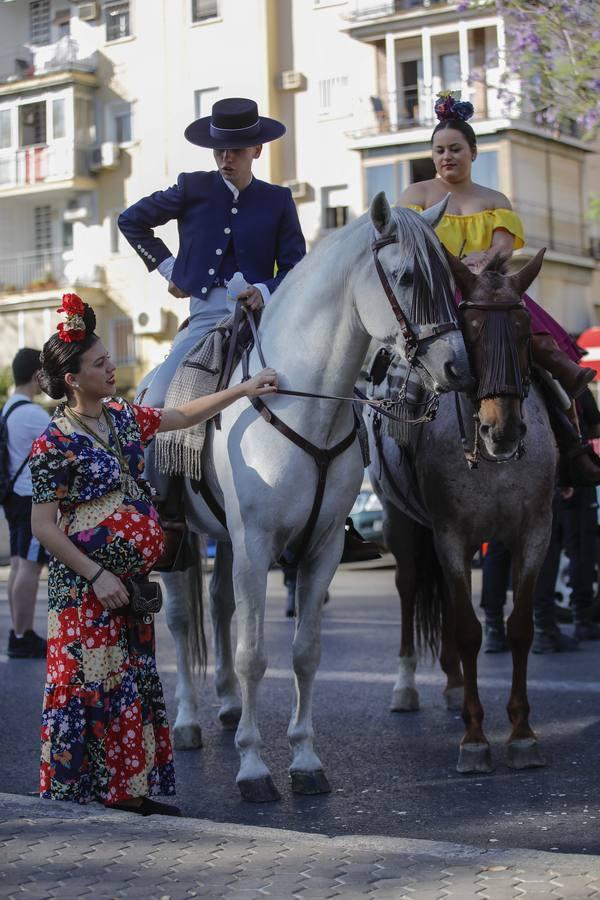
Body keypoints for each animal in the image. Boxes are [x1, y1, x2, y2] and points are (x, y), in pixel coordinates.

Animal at [148, 193, 472, 800]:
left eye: (449, 279)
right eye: (407, 276)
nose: (458, 368)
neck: (304, 402)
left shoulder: (321, 548)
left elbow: (305, 653)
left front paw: (304, 759)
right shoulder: (257, 545)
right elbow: (255, 655)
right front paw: (254, 768)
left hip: (227, 540)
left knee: (220, 606)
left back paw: (227, 706)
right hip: (183, 541)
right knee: (180, 621)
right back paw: (186, 722)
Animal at [368, 248, 560, 772]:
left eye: (523, 331)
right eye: (470, 330)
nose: (503, 431)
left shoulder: (534, 533)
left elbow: (518, 629)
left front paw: (521, 732)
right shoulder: (450, 535)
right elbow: (470, 631)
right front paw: (475, 739)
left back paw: (454, 687)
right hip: (402, 524)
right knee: (410, 588)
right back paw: (406, 687)